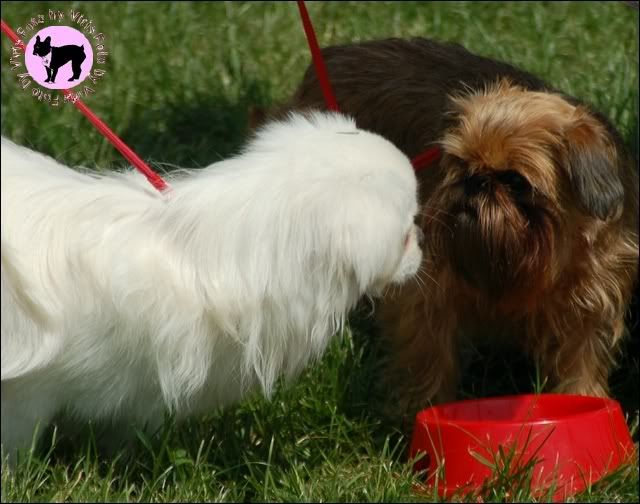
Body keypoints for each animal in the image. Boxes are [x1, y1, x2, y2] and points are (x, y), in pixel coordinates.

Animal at [276, 37, 639, 420]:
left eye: (516, 181)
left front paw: (586, 400)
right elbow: (429, 352)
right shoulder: (428, 294)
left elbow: (580, 363)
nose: (474, 181)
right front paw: (420, 409)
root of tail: (333, 56)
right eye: (459, 162)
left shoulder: (590, 305)